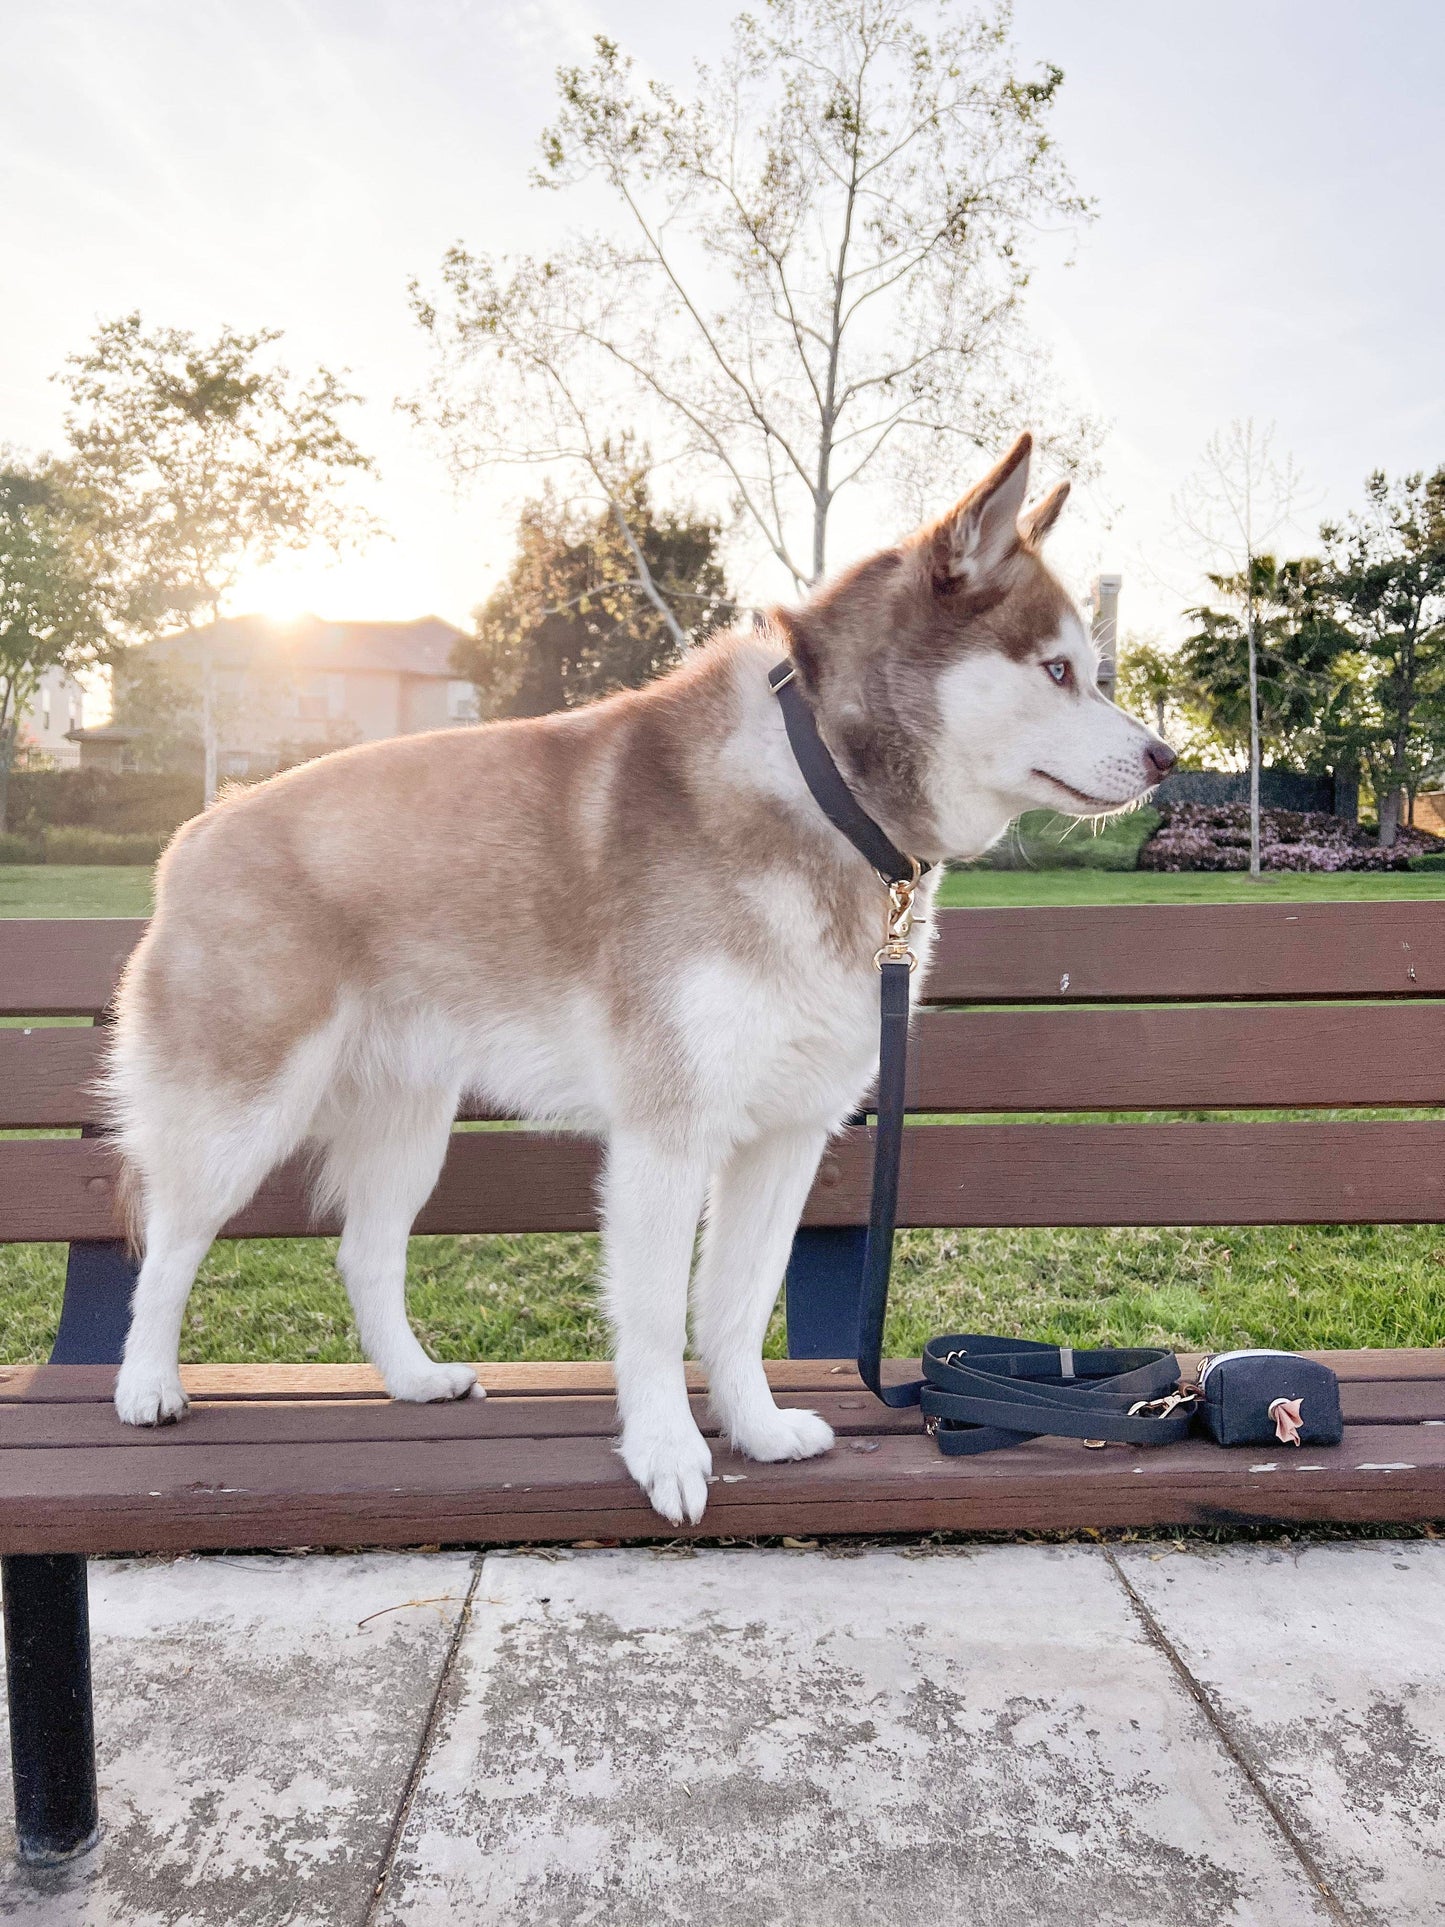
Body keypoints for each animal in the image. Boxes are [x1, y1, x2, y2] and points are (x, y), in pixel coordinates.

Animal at [110, 437, 1179, 1518]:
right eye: (1057, 671)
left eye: (1093, 673)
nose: (1166, 756)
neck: (826, 792)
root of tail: (196, 831)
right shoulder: (668, 1130)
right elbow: (662, 1316)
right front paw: (667, 1451)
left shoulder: (787, 1132)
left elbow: (738, 1306)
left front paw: (755, 1429)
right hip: (242, 1114)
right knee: (171, 1241)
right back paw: (147, 1384)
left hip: (409, 1126)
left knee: (365, 1251)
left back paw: (412, 1378)